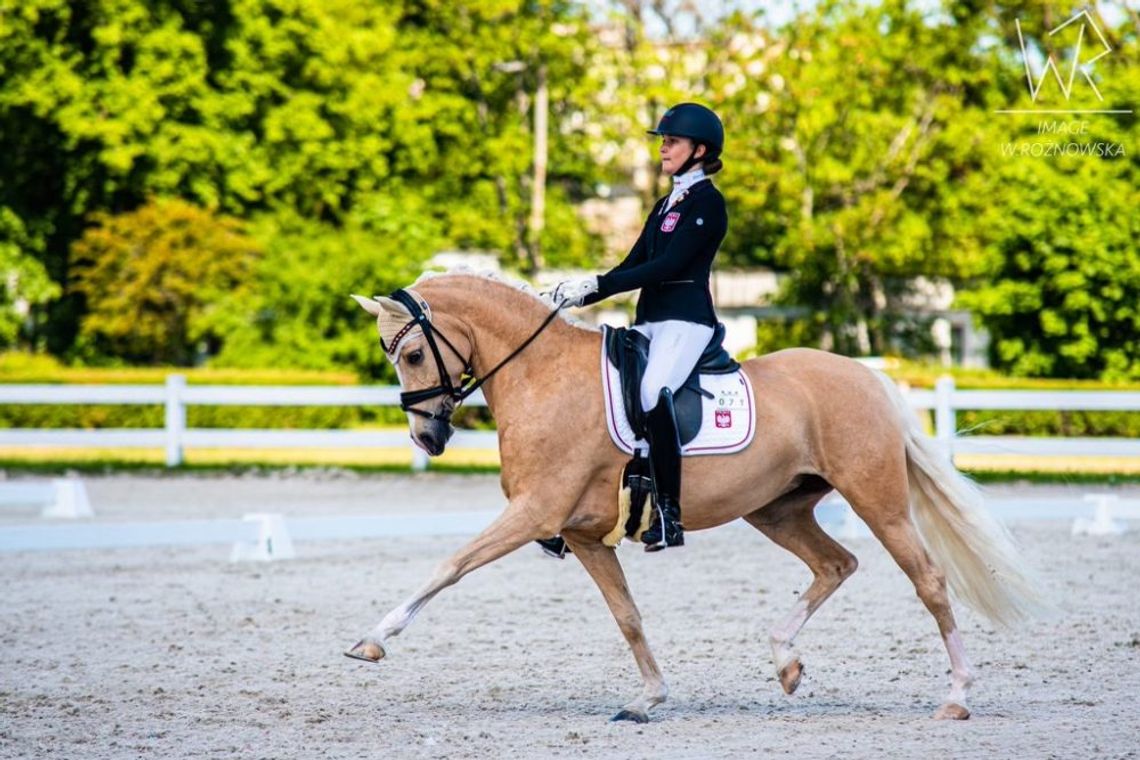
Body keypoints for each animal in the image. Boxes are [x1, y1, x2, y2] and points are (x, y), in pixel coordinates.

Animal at [344, 270, 1044, 724]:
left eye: (412, 353)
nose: (428, 437)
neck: (543, 376)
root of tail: (869, 378)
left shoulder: (534, 512)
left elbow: (450, 565)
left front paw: (373, 639)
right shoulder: (579, 533)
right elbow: (627, 615)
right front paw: (649, 698)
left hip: (878, 500)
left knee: (927, 580)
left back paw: (957, 697)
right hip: (776, 509)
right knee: (835, 564)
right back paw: (786, 662)